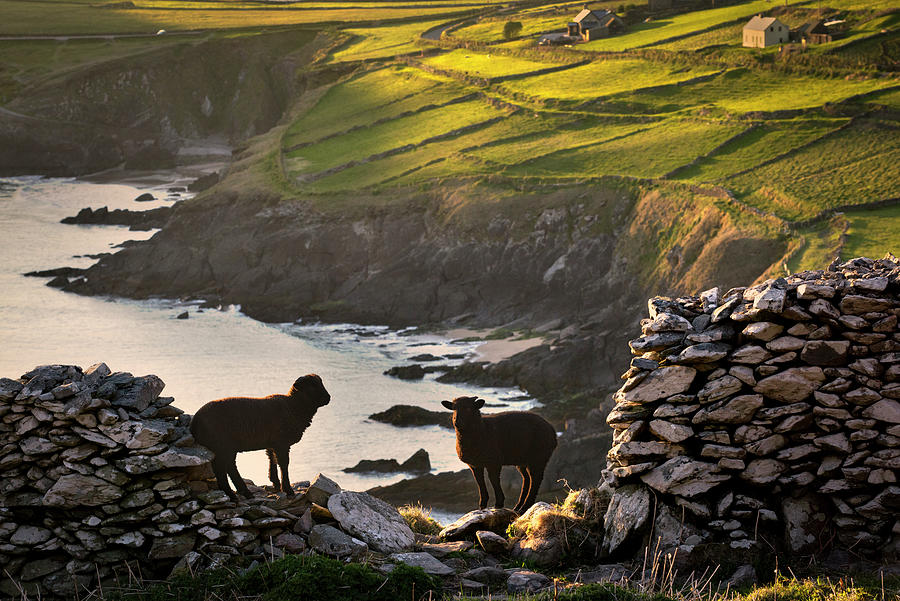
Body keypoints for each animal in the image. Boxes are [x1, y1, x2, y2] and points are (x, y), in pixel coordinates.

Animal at [190, 376, 330, 496]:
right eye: (312, 385)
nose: (328, 398)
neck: (293, 406)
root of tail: (195, 422)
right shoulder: (282, 443)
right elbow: (284, 464)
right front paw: (288, 489)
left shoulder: (272, 443)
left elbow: (272, 460)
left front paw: (276, 484)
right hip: (222, 445)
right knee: (222, 468)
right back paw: (232, 494)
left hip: (226, 447)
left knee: (229, 466)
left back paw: (244, 492)